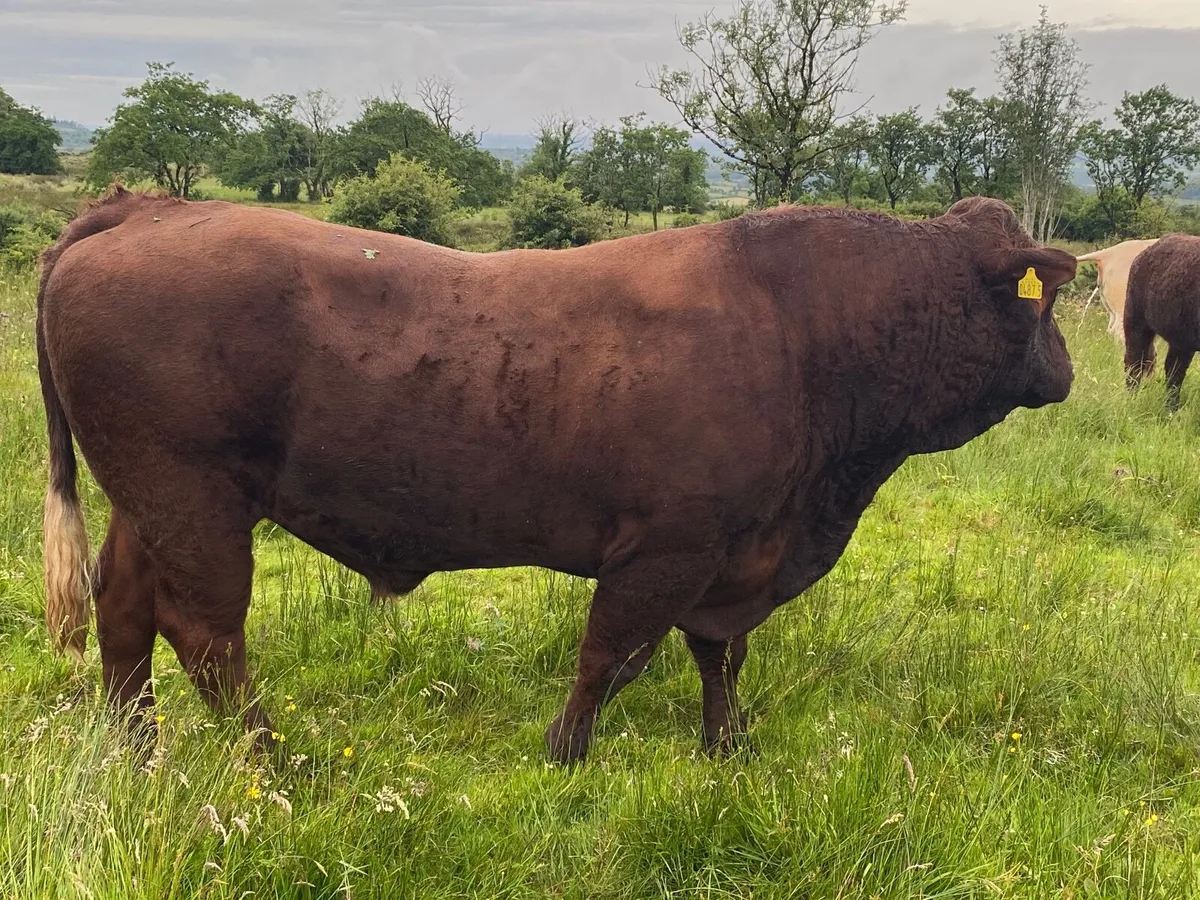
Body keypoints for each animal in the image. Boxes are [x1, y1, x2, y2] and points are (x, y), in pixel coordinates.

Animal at [37, 188, 1076, 763]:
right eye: (1039, 298)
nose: (1066, 370)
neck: (803, 328)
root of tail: (145, 207)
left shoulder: (736, 554)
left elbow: (719, 654)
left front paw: (726, 748)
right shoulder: (667, 549)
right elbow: (612, 655)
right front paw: (566, 754)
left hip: (146, 502)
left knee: (125, 612)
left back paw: (137, 753)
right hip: (194, 501)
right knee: (206, 633)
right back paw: (274, 760)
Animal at [1124, 233, 1200, 411]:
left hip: (1181, 340)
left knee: (1174, 371)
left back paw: (1172, 409)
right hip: (1136, 323)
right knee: (1134, 363)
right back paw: (1131, 400)